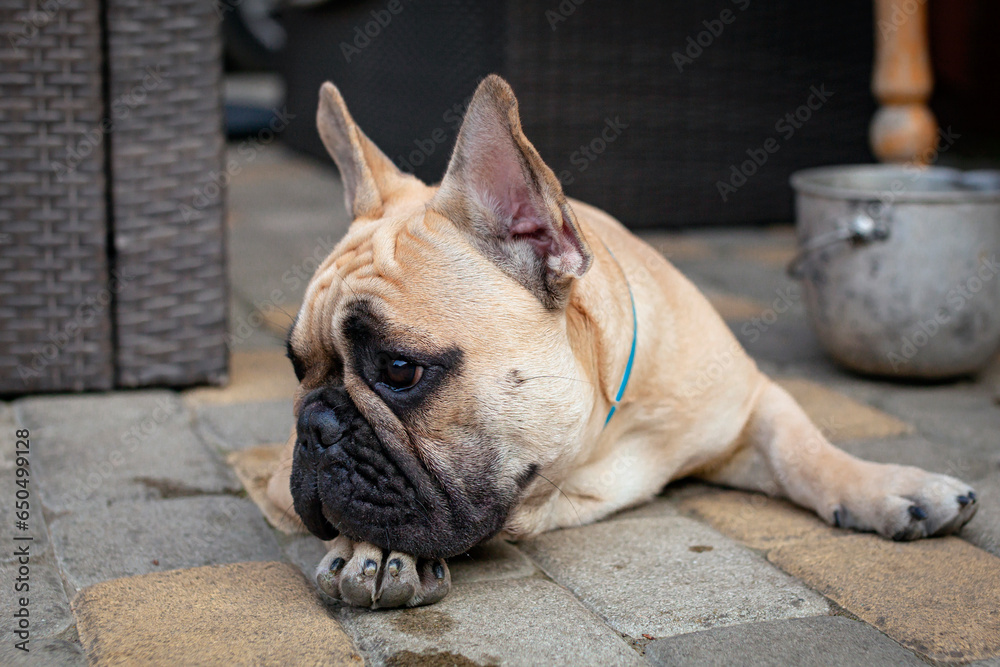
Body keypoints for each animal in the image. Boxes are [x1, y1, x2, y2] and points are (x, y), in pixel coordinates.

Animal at [266, 75, 976, 608]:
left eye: (399, 369)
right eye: (297, 369)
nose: (315, 425)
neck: (600, 436)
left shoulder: (749, 404)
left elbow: (805, 450)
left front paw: (891, 487)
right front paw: (377, 550)